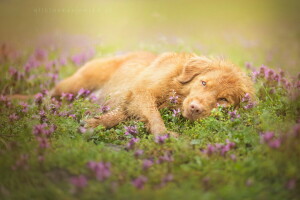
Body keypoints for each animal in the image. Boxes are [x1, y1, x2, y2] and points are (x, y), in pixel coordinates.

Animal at [48, 51, 253, 136]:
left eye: (223, 100)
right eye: (203, 83)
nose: (195, 108)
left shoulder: (133, 99)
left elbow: (121, 114)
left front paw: (95, 122)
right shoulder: (142, 91)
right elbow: (153, 115)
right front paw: (163, 135)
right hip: (76, 83)